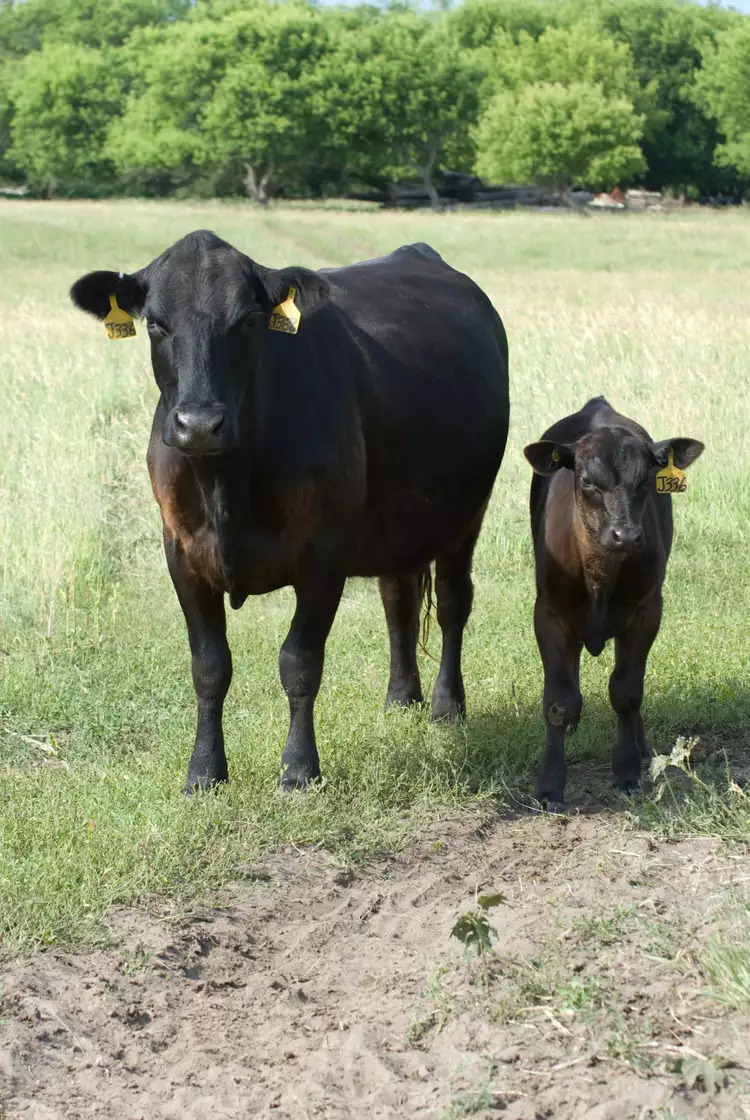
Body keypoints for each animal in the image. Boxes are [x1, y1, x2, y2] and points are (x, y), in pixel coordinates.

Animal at [72, 234, 510, 797]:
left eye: (247, 321)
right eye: (156, 324)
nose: (199, 425)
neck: (226, 482)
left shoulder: (324, 555)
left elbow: (299, 662)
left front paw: (300, 770)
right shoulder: (182, 552)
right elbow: (209, 666)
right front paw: (204, 772)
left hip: (466, 514)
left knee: (454, 602)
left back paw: (445, 705)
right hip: (397, 520)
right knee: (399, 599)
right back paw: (400, 697)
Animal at [523, 398, 707, 810]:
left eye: (644, 482)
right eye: (588, 482)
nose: (626, 535)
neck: (600, 576)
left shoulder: (646, 612)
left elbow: (626, 692)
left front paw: (626, 772)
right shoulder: (549, 614)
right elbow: (559, 701)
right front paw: (550, 785)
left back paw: (640, 747)